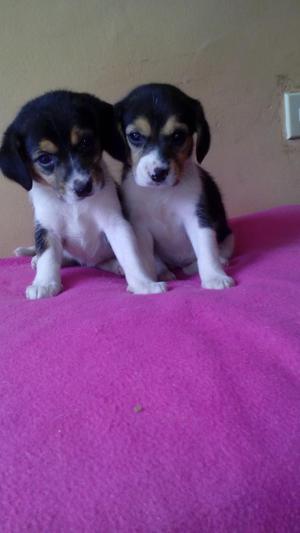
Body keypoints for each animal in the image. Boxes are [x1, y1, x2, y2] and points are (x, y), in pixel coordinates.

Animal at [0, 92, 166, 300]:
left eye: (85, 142)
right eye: (44, 158)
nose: (83, 187)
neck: (73, 205)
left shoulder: (116, 224)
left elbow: (130, 255)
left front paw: (144, 284)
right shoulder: (47, 227)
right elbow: (48, 256)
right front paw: (44, 283)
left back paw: (116, 265)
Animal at [116, 84, 236, 288]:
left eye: (178, 136)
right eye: (135, 136)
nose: (158, 174)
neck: (161, 193)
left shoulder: (198, 218)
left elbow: (206, 251)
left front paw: (214, 277)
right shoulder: (140, 228)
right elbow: (145, 260)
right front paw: (148, 283)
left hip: (227, 235)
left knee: (212, 254)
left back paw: (216, 263)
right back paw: (164, 273)